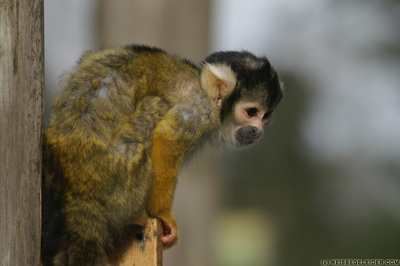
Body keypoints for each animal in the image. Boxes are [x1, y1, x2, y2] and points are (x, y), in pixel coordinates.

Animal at [41, 44, 282, 264]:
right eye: (251, 112)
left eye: (266, 116)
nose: (258, 130)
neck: (207, 91)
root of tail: (78, 195)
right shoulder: (203, 109)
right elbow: (168, 137)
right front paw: (162, 215)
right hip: (120, 182)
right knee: (157, 103)